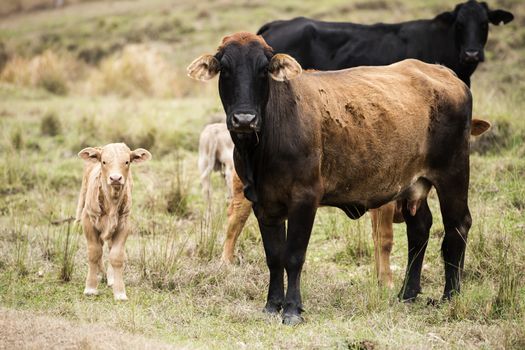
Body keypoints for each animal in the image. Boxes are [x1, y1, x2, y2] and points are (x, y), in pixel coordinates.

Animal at [77, 143, 152, 300]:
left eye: (127, 161)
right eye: (104, 162)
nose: (115, 178)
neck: (111, 202)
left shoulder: (123, 224)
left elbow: (116, 256)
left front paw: (119, 292)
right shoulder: (88, 221)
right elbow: (94, 253)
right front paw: (90, 287)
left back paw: (110, 278)